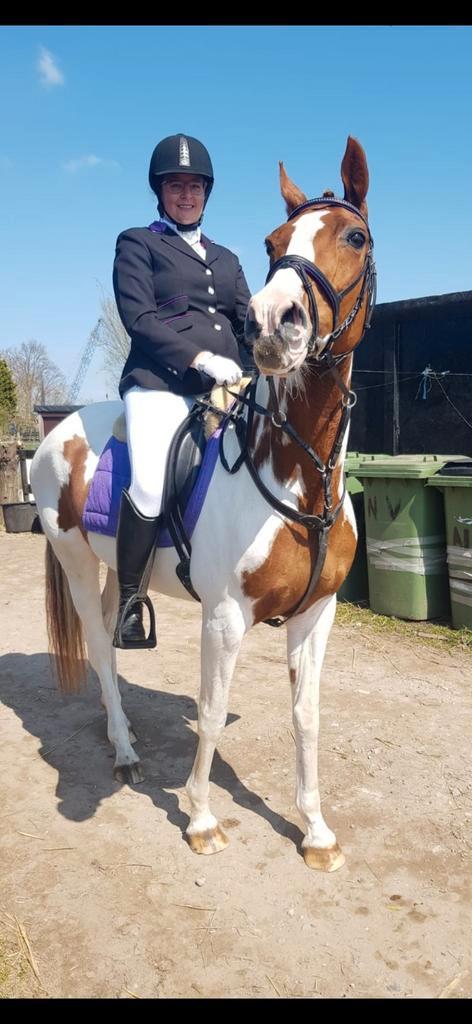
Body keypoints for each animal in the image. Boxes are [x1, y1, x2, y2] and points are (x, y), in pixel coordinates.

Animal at [30, 136, 376, 872]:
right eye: (273, 244)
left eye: (355, 237)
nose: (272, 323)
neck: (298, 479)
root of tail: (60, 428)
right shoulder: (224, 618)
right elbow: (213, 714)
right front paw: (200, 819)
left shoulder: (318, 616)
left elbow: (307, 716)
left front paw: (316, 831)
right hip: (74, 561)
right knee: (97, 646)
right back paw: (126, 751)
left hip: (116, 569)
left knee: (111, 636)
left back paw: (122, 735)